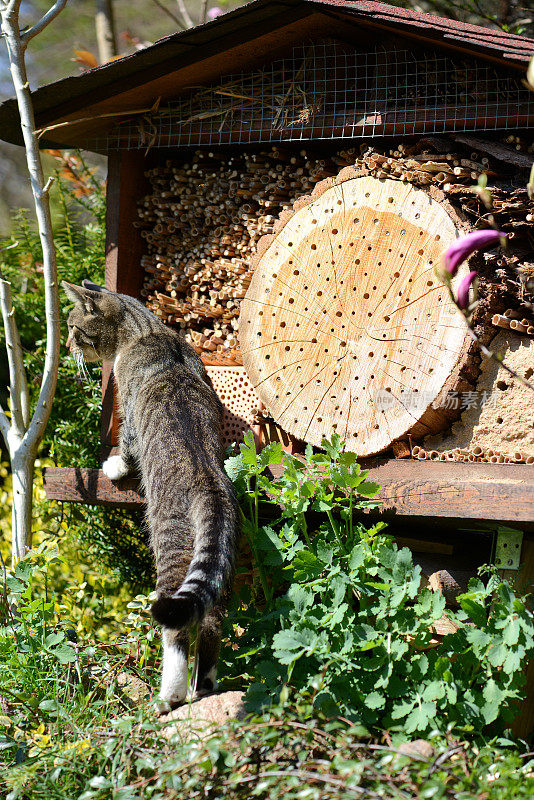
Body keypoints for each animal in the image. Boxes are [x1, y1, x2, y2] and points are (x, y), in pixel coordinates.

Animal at [63, 278, 239, 708]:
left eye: (74, 327)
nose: (68, 346)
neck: (147, 331)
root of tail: (209, 481)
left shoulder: (127, 403)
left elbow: (127, 444)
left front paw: (113, 466)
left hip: (169, 547)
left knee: (176, 628)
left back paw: (169, 695)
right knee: (210, 620)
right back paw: (202, 687)